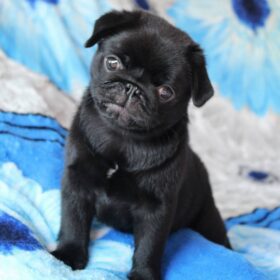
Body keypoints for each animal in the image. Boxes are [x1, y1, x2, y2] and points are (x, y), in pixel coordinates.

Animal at [52, 9, 230, 280]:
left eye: (165, 92)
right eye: (112, 63)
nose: (131, 88)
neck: (121, 139)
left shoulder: (156, 210)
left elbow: (149, 246)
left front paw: (143, 275)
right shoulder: (77, 181)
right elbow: (74, 220)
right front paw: (69, 254)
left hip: (208, 219)